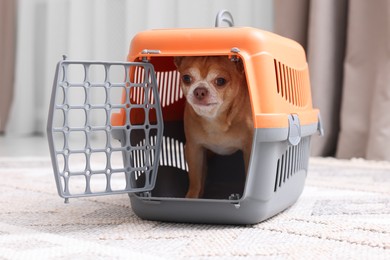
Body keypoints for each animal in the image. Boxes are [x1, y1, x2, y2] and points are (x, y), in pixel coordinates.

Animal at [174, 57, 253, 198]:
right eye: (186, 78)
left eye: (220, 81)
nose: (199, 91)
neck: (215, 118)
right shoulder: (194, 149)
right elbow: (195, 179)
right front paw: (191, 197)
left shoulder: (249, 150)